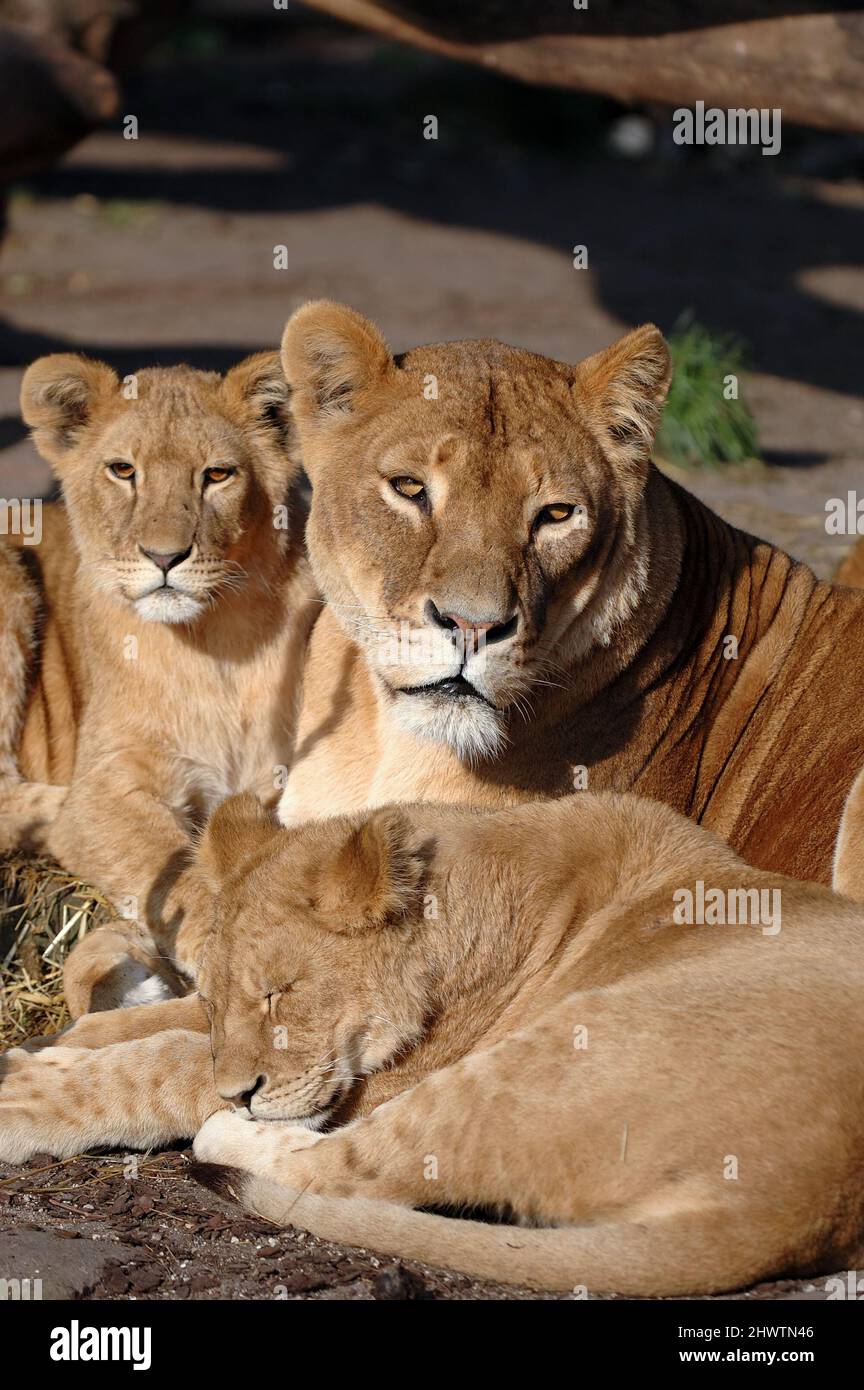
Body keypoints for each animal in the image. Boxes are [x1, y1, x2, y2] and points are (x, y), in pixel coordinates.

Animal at [0, 351, 317, 1009]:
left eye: (217, 475)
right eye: (123, 471)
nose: (165, 557)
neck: (213, 648)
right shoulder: (106, 789)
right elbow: (177, 866)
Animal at [3, 790, 864, 1297]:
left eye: (279, 994)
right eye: (220, 1000)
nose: (238, 1091)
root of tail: (790, 1209)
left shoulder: (377, 1075)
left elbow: (160, 1066)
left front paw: (25, 1098)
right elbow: (151, 1027)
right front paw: (49, 1045)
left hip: (555, 1050)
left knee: (346, 1169)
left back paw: (227, 1135)